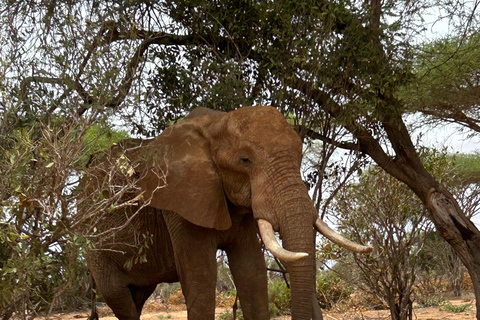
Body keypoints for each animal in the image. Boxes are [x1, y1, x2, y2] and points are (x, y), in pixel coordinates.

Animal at [81, 107, 372, 320]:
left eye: (300, 157)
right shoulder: (179, 201)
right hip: (93, 240)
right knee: (117, 294)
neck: (215, 124)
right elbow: (201, 278)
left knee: (137, 295)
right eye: (245, 160)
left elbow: (252, 274)